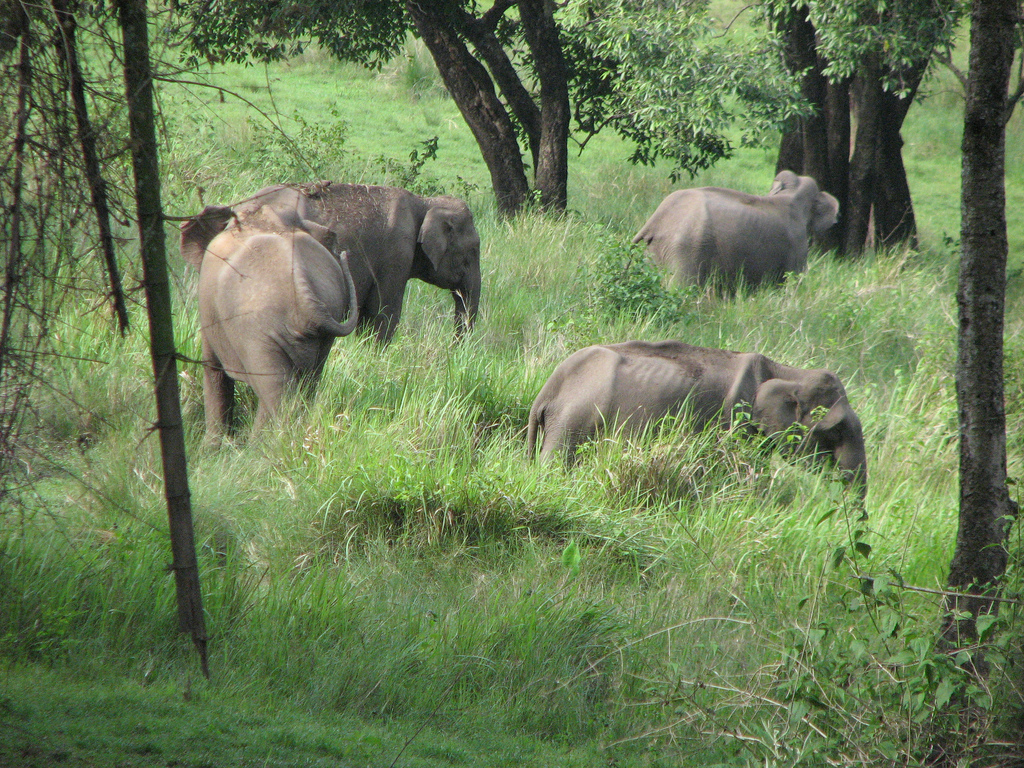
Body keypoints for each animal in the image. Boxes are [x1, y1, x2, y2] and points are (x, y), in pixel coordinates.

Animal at [180, 204, 360, 444]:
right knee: (306, 383)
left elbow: (213, 369)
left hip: (257, 334)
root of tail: (304, 293)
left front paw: (211, 448)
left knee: (273, 389)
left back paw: (259, 448)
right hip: (322, 330)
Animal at [630, 169, 839, 290]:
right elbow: (793, 281)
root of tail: (656, 219)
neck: (790, 194)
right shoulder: (797, 244)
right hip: (685, 250)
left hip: (653, 251)